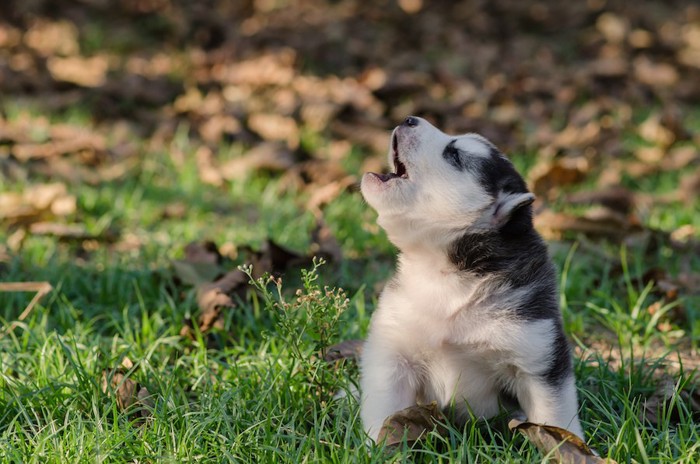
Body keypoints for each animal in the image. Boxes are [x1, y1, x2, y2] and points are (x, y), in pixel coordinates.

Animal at [358, 116, 584, 442]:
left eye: (454, 154)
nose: (409, 119)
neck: (444, 274)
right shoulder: (392, 354)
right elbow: (384, 410)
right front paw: (377, 445)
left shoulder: (538, 354)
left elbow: (554, 414)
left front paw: (567, 446)